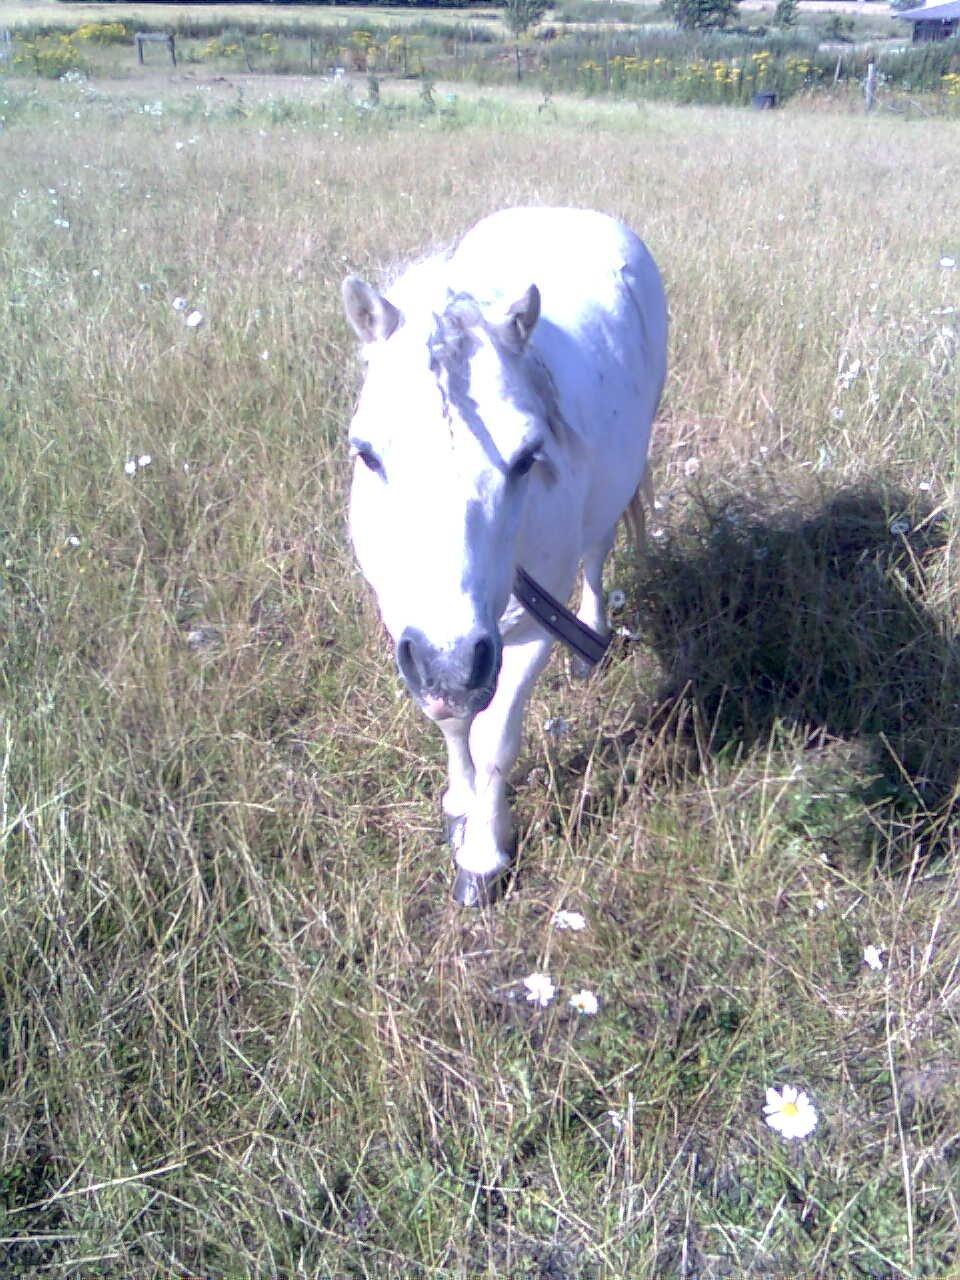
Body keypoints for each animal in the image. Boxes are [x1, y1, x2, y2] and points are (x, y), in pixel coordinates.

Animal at [343, 209, 670, 906]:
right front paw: (458, 806)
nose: (450, 662)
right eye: (367, 454)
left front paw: (484, 856)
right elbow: (450, 721)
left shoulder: (525, 631)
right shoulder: (414, 632)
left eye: (527, 458)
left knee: (597, 555)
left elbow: (495, 738)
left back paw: (589, 645)